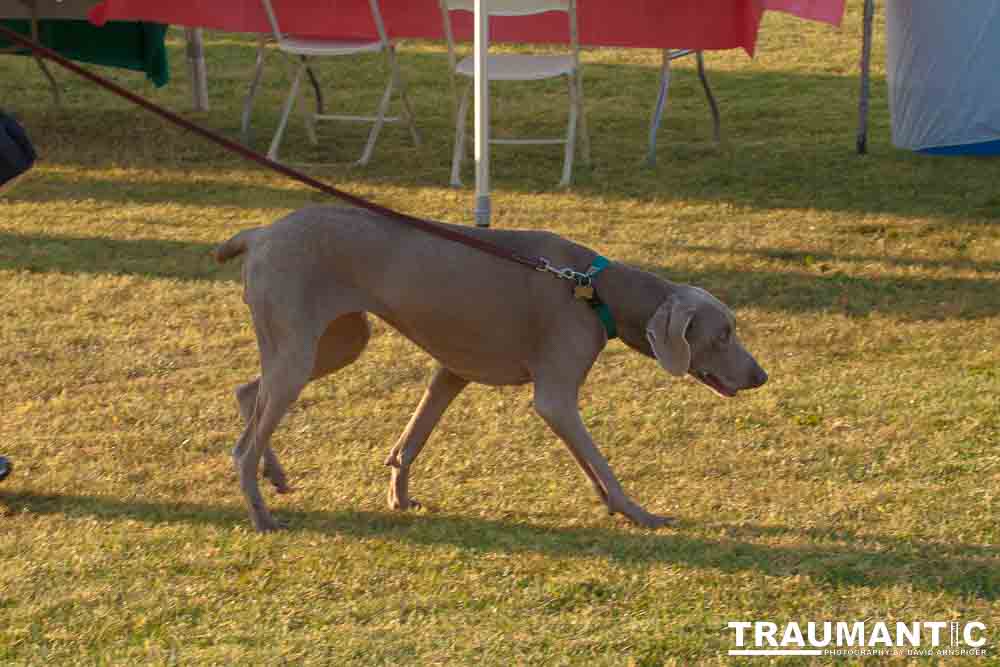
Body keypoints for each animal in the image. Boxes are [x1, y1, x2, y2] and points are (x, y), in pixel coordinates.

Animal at [217, 206, 764, 536]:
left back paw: (275, 472)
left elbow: (410, 442)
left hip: (340, 340)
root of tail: (260, 233)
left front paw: (399, 499)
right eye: (723, 333)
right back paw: (262, 515)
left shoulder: (450, 372)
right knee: (245, 443)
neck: (596, 288)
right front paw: (637, 512)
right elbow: (598, 458)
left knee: (249, 391)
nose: (760, 376)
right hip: (301, 342)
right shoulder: (555, 397)